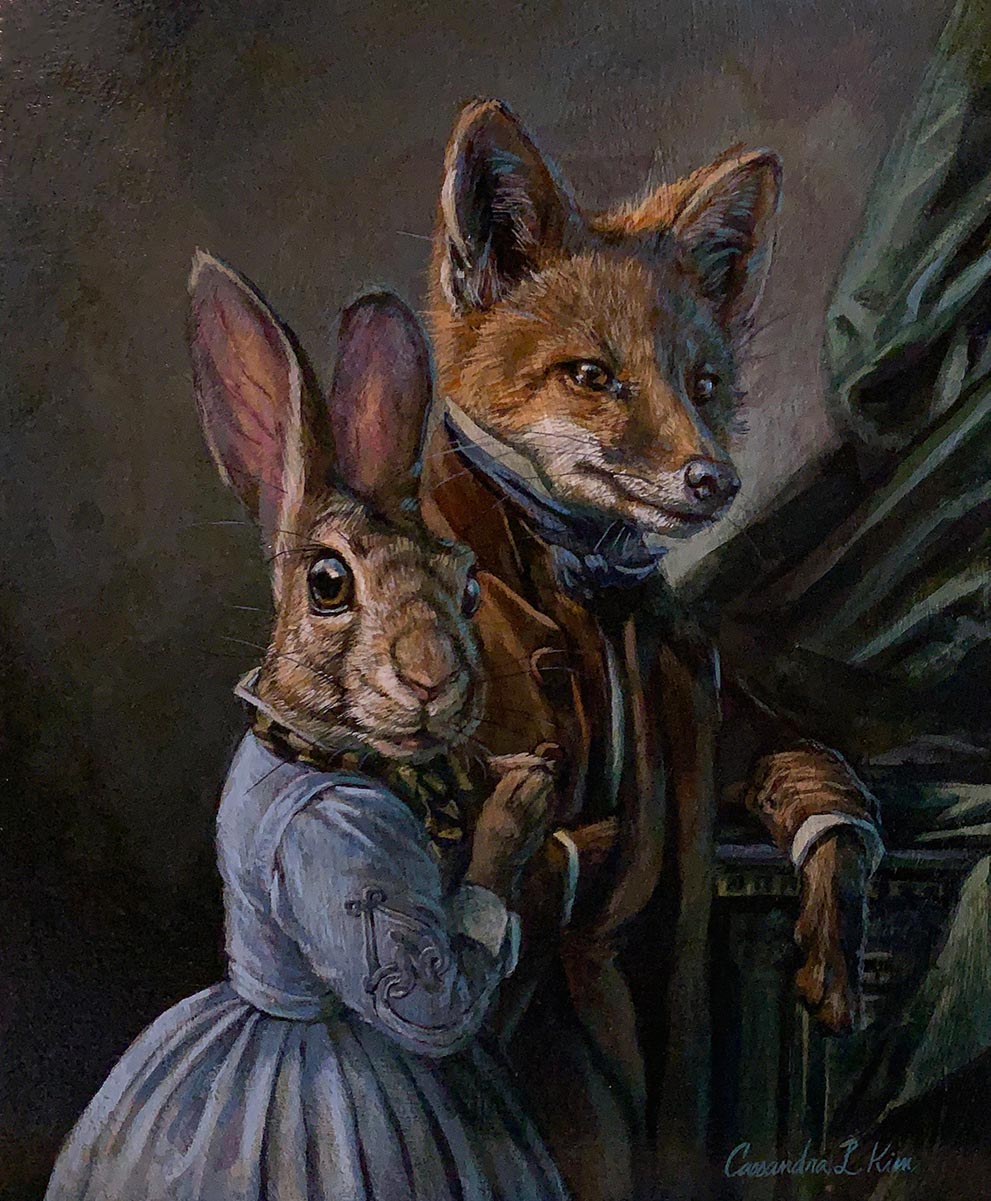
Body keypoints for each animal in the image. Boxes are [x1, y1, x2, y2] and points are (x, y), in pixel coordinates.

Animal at [43, 255, 568, 1201]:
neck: (329, 749)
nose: (434, 679)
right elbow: (434, 999)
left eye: (469, 585)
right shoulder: (349, 863)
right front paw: (517, 804)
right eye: (328, 582)